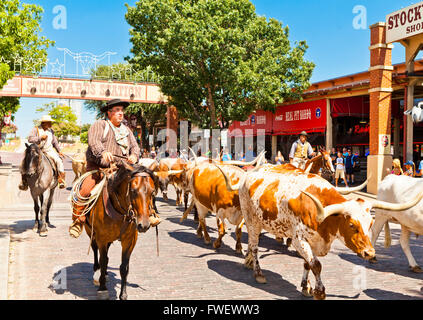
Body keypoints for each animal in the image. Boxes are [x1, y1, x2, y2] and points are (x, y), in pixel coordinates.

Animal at [84, 162, 157, 300]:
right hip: (90, 231)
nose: (144, 225)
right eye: (133, 191)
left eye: (152, 191)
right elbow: (103, 260)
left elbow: (124, 268)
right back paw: (97, 271)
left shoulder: (130, 241)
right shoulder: (101, 238)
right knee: (95, 249)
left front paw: (123, 294)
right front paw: (102, 288)